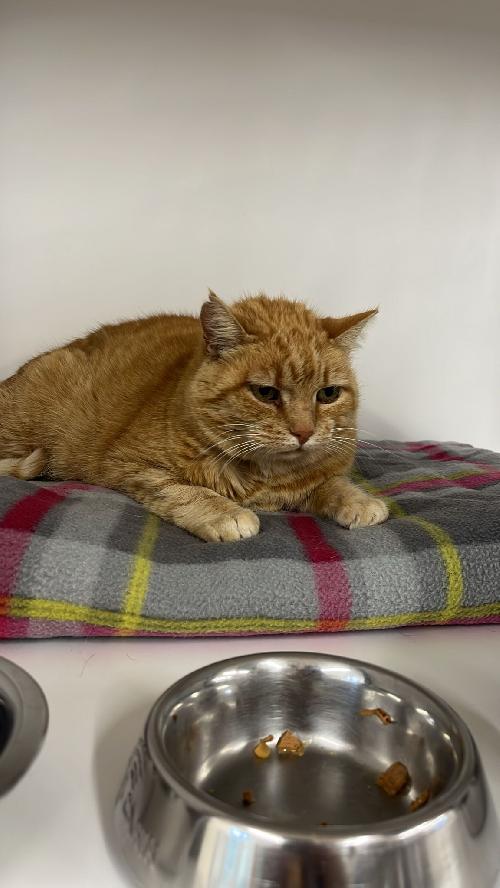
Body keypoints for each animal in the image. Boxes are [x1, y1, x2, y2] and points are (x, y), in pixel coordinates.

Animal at [0, 292, 388, 541]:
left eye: (328, 394)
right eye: (265, 393)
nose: (304, 432)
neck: (265, 477)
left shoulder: (317, 475)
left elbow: (332, 483)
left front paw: (359, 501)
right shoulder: (130, 466)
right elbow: (185, 491)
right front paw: (226, 513)